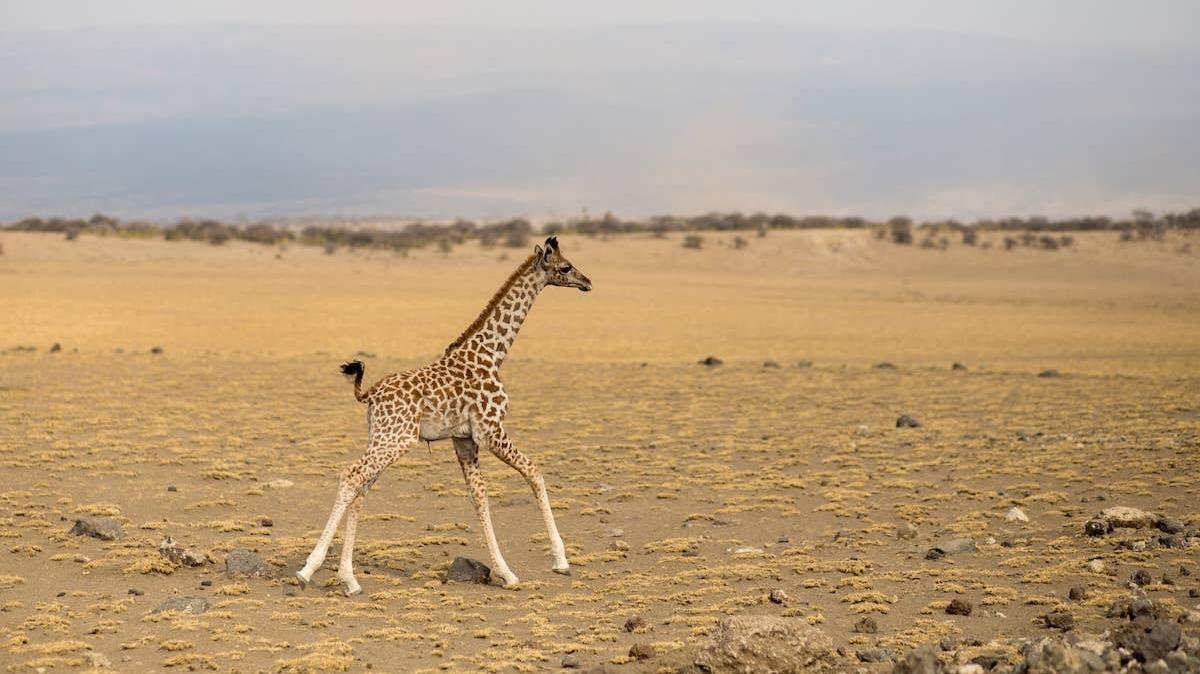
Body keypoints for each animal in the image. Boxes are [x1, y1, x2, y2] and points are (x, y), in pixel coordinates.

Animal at [295, 236, 592, 594]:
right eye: (566, 267)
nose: (588, 282)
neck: (493, 355)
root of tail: (370, 394)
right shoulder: (491, 430)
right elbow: (534, 473)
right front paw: (559, 562)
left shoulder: (464, 439)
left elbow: (479, 497)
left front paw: (504, 571)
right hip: (397, 439)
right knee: (352, 476)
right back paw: (308, 570)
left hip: (382, 437)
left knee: (361, 487)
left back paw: (349, 579)